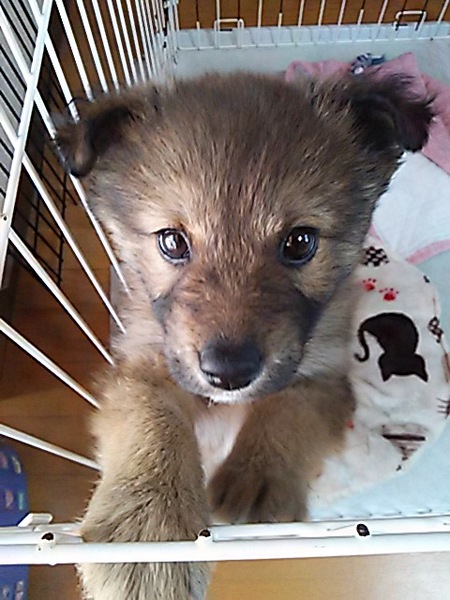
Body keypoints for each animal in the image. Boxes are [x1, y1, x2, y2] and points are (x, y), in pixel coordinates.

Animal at [58, 72, 431, 599]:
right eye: (172, 241)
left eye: (300, 242)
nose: (229, 372)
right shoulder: (143, 365)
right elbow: (152, 423)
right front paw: (149, 535)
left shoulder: (323, 374)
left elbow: (287, 411)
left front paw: (257, 482)